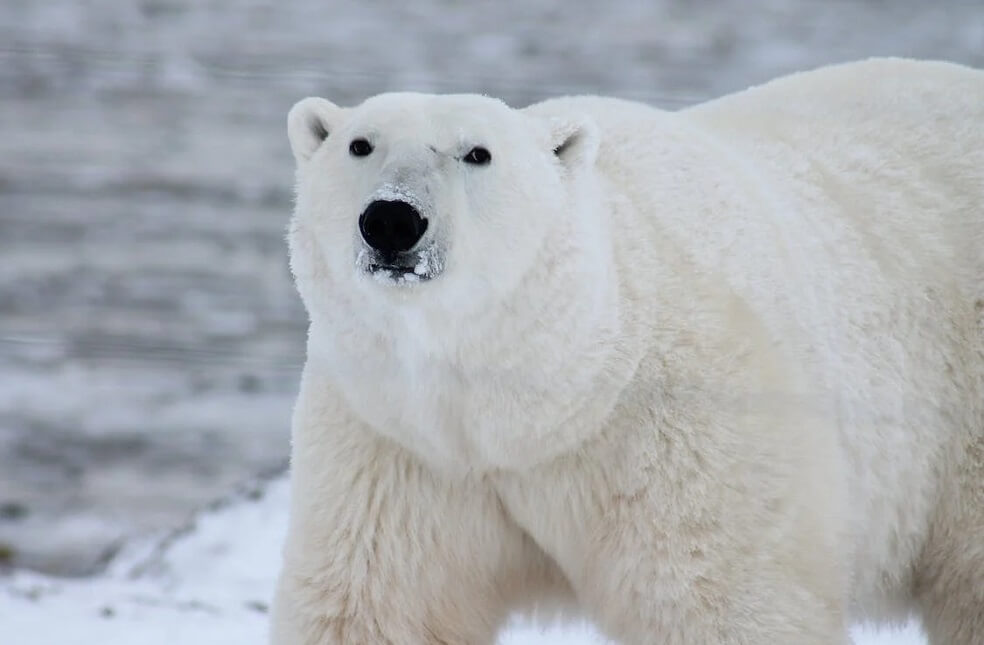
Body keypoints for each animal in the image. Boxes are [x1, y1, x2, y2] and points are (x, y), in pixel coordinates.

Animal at [270, 57, 984, 640]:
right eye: (360, 144)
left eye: (477, 153)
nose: (392, 219)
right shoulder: (399, 444)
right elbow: (376, 605)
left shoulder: (685, 430)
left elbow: (724, 600)